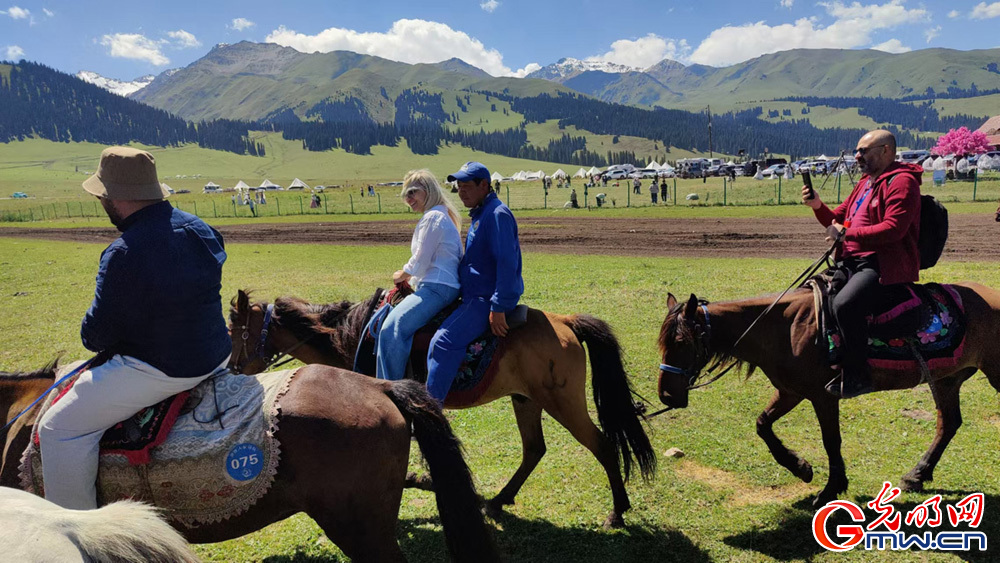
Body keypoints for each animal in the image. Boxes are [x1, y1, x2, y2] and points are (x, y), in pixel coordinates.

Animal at [230, 288, 660, 532]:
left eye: (236, 331)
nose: (231, 369)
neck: (347, 337)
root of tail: (564, 321)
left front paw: (421, 479)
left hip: (562, 403)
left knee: (602, 445)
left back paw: (617, 512)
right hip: (526, 400)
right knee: (534, 450)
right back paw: (498, 501)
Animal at [652, 288, 1000, 508]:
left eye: (681, 341)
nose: (666, 395)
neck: (783, 328)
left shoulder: (823, 396)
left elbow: (831, 441)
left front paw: (831, 488)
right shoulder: (790, 391)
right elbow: (763, 424)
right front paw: (801, 468)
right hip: (946, 379)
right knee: (948, 423)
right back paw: (917, 474)